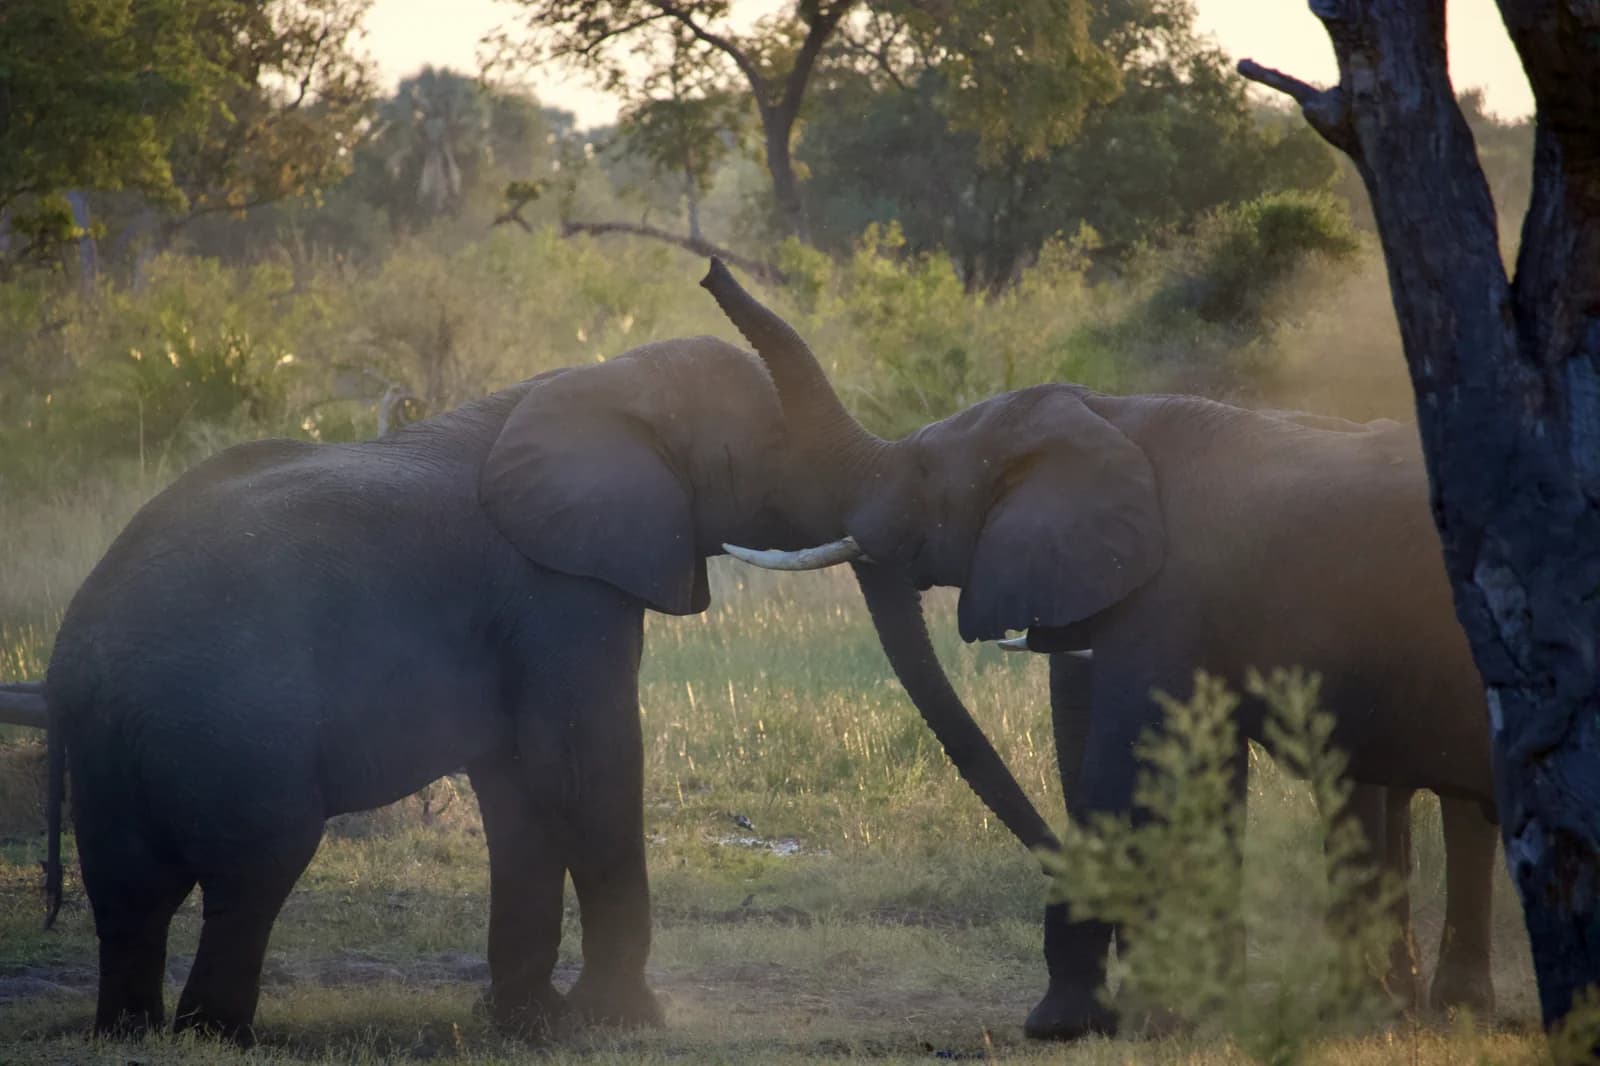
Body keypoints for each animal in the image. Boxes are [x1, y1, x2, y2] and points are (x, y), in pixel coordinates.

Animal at [37, 332, 866, 1046]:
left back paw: (130, 1033)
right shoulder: (557, 590)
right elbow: (584, 763)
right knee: (255, 868)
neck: (605, 376)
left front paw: (531, 1024)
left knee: (129, 888)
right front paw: (623, 1023)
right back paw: (220, 1038)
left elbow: (519, 786)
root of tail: (74, 652)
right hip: (232, 724)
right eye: (781, 444)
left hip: (118, 743)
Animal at [697, 261, 1499, 1040]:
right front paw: (1185, 1013)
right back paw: (1433, 1011)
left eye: (924, 471)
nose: (709, 272)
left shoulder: (1168, 594)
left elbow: (1128, 767)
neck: (1108, 414)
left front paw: (1097, 1021)